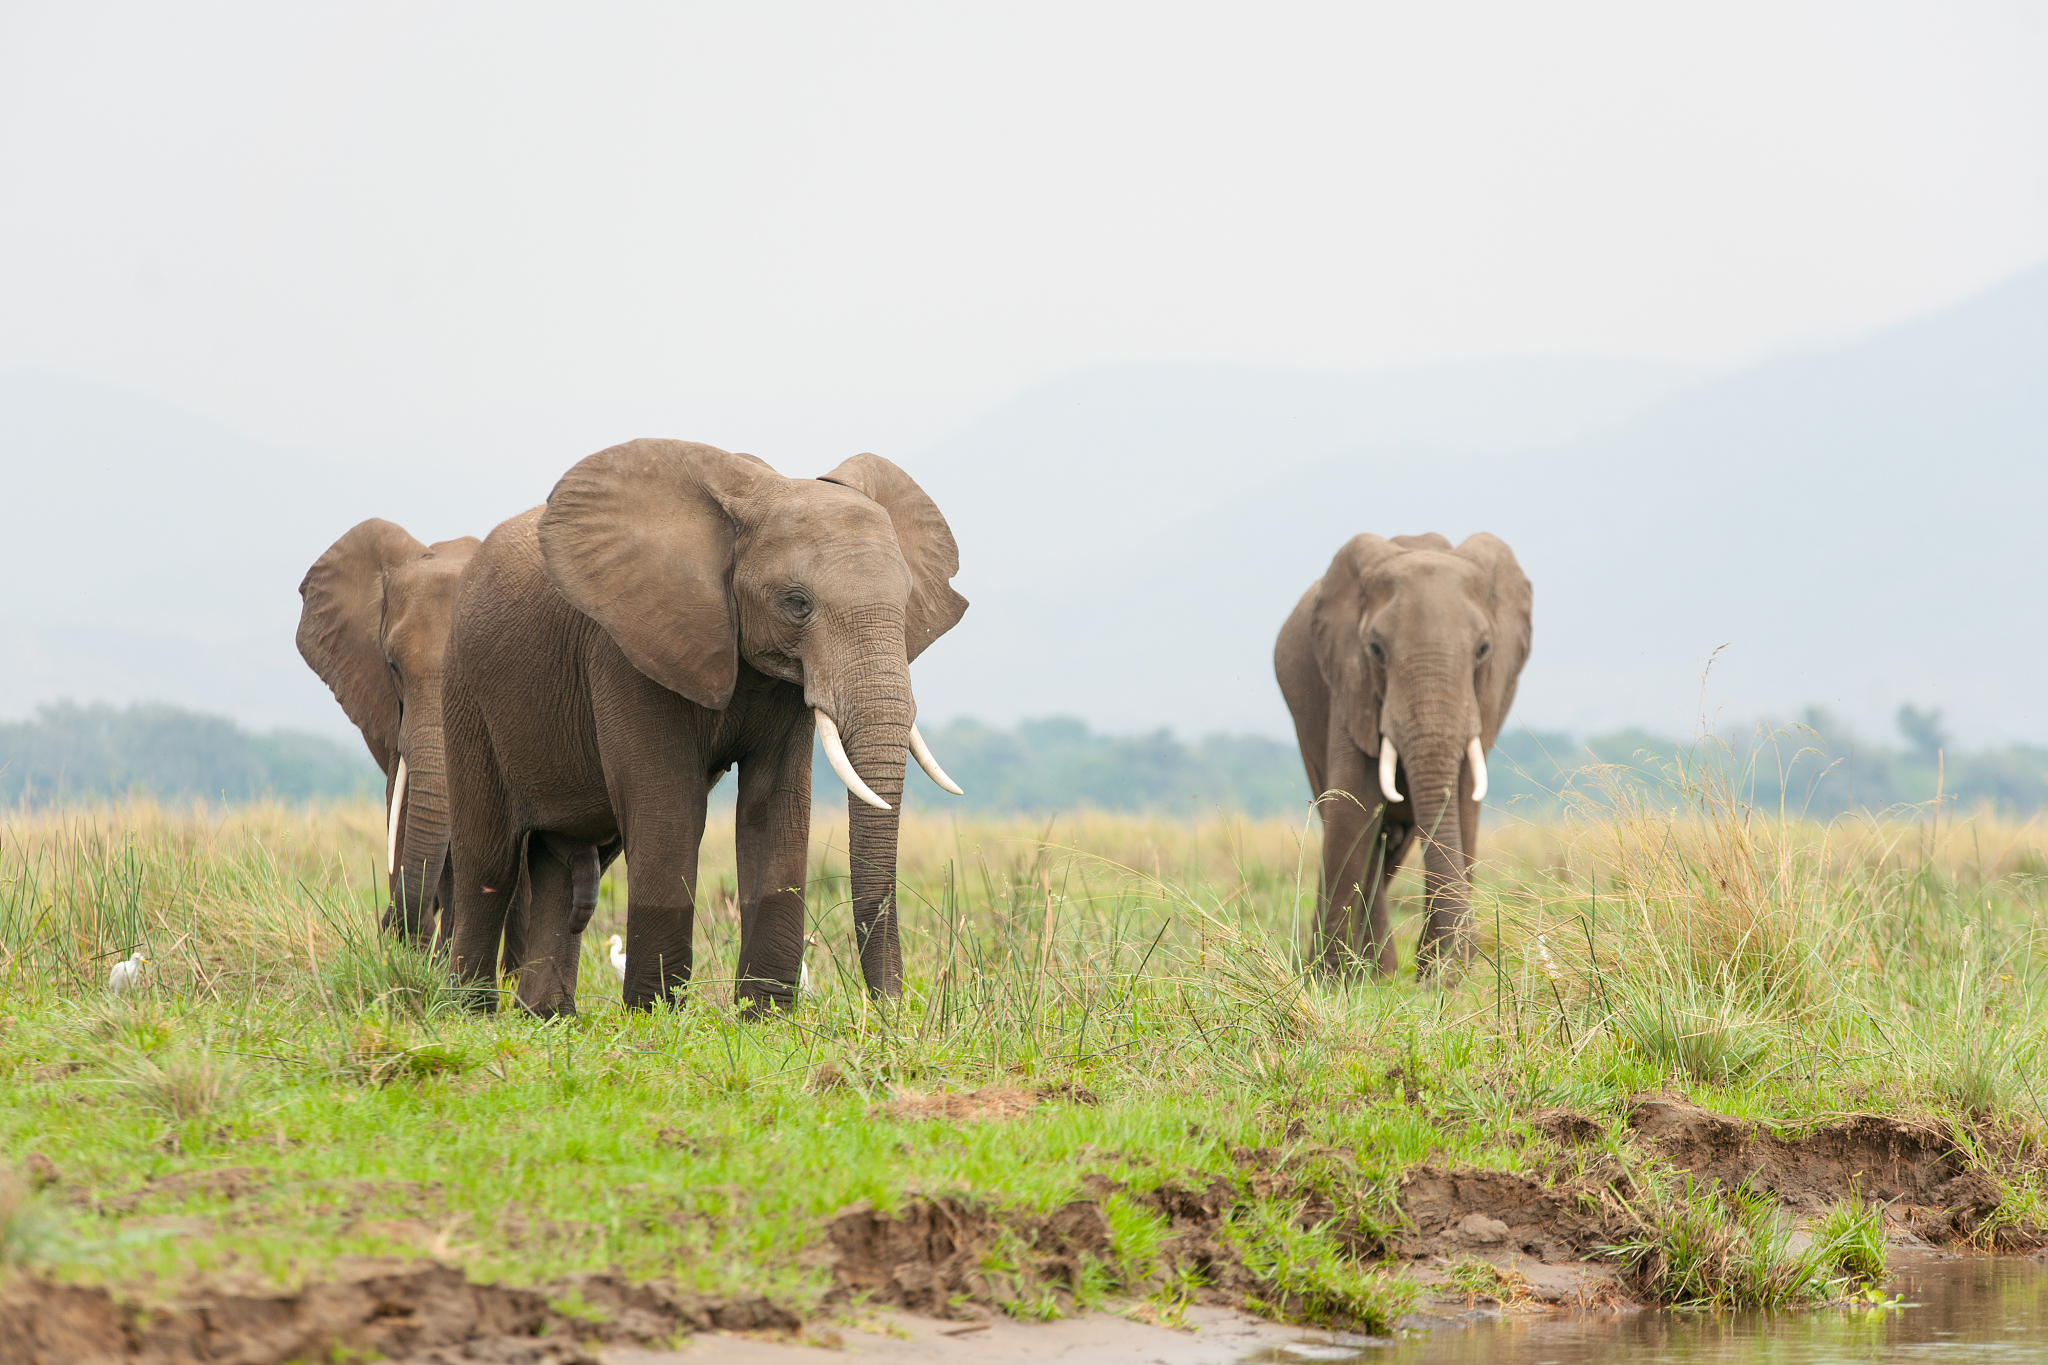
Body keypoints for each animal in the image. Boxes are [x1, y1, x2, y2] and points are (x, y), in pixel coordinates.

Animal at [442, 439, 967, 1016]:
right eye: (796, 603)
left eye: (906, 602)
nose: (892, 1006)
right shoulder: (627, 647)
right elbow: (669, 809)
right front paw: (653, 1015)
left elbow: (773, 809)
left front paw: (764, 1017)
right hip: (465, 692)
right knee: (489, 860)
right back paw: (470, 1011)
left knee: (567, 859)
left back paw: (547, 1016)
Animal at [1274, 533, 1531, 978]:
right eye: (1376, 649)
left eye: (1483, 649)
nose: (1452, 969)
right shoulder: (1350, 681)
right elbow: (1353, 805)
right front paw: (1335, 979)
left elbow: (1462, 807)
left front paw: (1446, 974)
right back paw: (1372, 971)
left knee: (1393, 844)